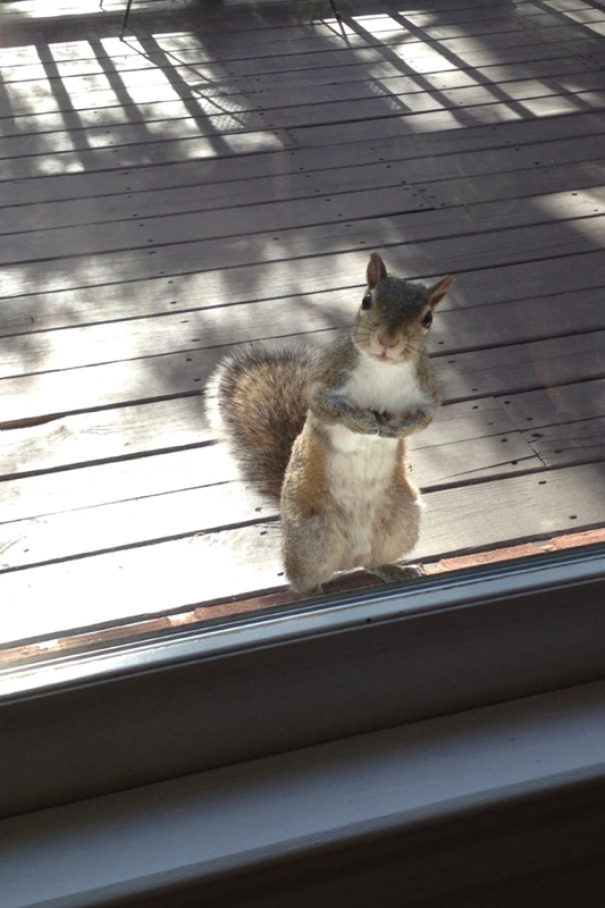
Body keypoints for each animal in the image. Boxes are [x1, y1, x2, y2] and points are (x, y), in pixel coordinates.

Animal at [211, 252, 454, 596]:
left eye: (428, 319)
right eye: (367, 300)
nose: (387, 340)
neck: (384, 368)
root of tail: (350, 556)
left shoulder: (427, 393)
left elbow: (424, 419)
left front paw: (396, 429)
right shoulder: (326, 382)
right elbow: (325, 406)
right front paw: (361, 420)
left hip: (401, 519)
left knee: (372, 562)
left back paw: (395, 570)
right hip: (311, 535)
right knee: (302, 579)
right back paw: (313, 592)